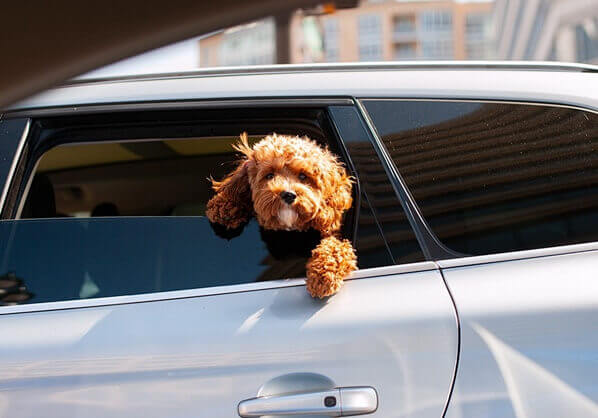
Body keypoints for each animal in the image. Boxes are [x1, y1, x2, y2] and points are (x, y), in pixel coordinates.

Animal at [207, 132, 356, 298]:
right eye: (270, 175)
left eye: (303, 176)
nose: (288, 195)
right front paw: (223, 205)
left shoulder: (335, 235)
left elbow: (336, 248)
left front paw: (323, 276)